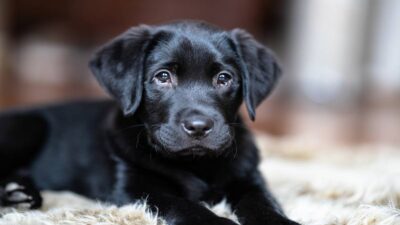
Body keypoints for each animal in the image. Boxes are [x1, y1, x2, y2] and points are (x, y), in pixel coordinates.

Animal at [0, 20, 298, 224]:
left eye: (224, 78)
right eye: (163, 76)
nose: (198, 127)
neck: (195, 163)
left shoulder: (250, 179)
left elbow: (262, 202)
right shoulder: (135, 189)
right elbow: (184, 204)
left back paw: (20, 194)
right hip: (29, 126)